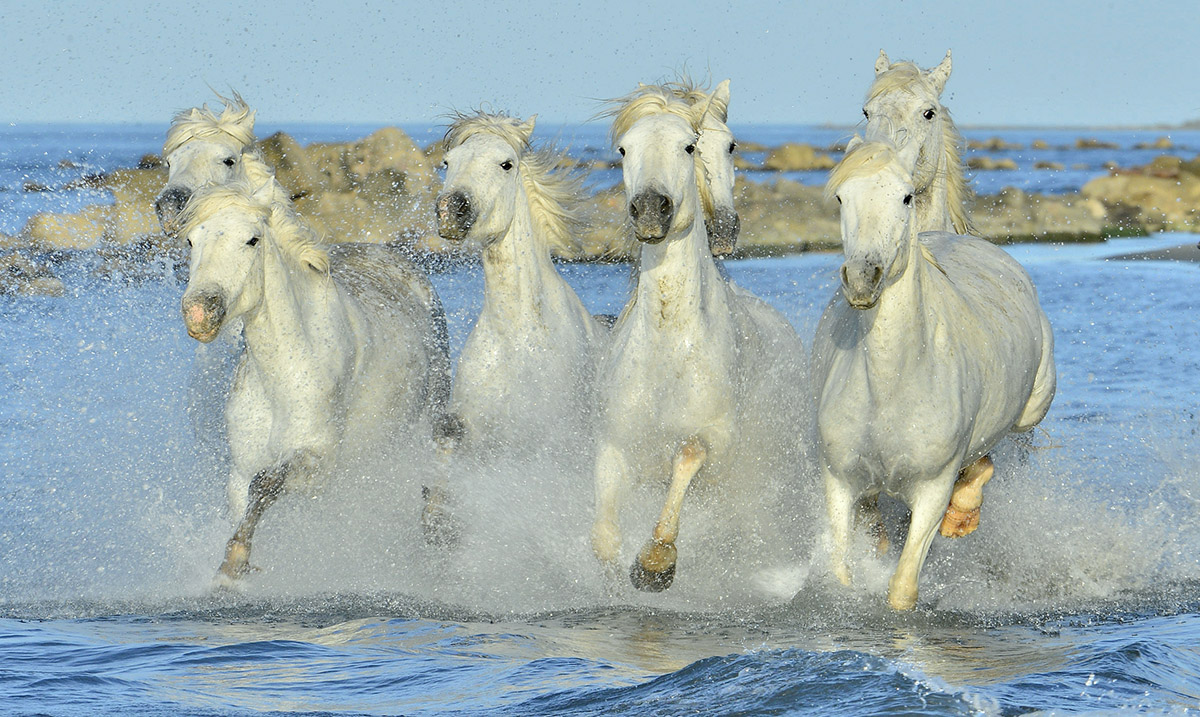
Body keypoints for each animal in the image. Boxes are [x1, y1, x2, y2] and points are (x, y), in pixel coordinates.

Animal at [178, 181, 453, 585]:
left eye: (252, 239)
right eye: (191, 240)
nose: (200, 312)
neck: (285, 375)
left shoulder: (316, 464)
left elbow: (266, 483)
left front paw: (233, 565)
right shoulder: (239, 471)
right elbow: (249, 499)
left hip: (432, 406)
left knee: (440, 452)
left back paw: (437, 527)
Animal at [590, 86, 806, 592]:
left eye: (688, 146)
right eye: (623, 150)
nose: (651, 209)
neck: (668, 348)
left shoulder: (715, 444)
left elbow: (687, 455)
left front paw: (655, 564)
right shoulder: (615, 444)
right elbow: (604, 533)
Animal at [811, 142, 1056, 611]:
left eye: (906, 197)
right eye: (841, 198)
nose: (863, 279)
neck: (891, 386)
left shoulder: (931, 490)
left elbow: (903, 588)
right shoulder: (838, 481)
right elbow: (840, 575)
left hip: (1030, 412)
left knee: (985, 457)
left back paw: (962, 515)